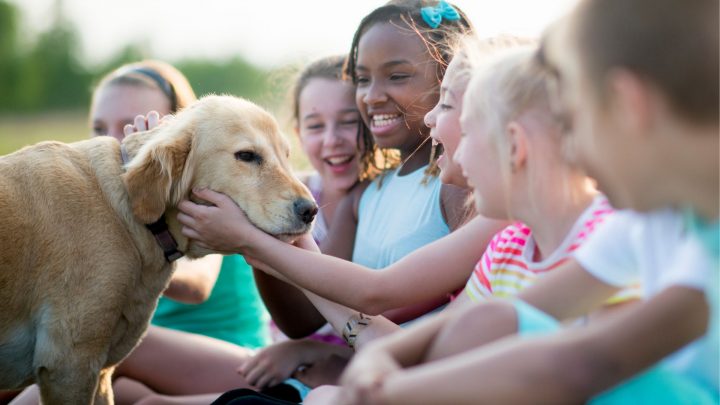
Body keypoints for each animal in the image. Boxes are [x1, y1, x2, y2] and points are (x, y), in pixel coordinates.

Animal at [0, 95, 316, 404]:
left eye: (286, 156)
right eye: (247, 156)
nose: (310, 211)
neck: (130, 214)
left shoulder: (97, 372)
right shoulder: (69, 366)